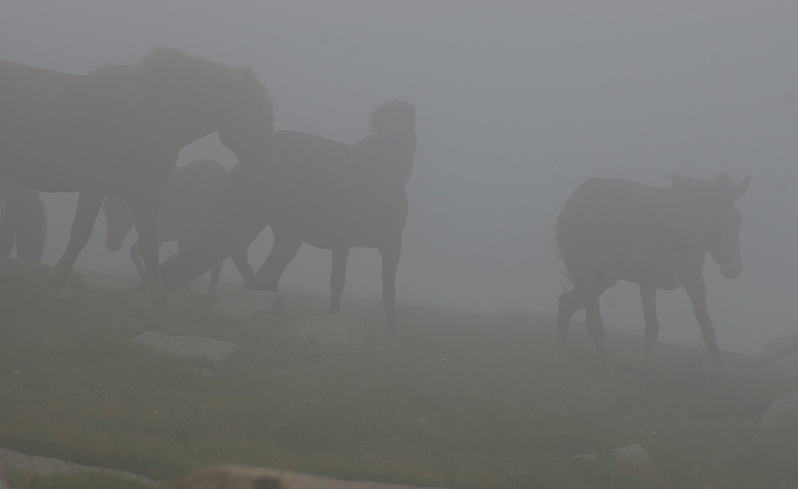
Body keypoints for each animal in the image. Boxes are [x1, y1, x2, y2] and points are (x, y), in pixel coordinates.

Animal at [159, 100, 416, 332]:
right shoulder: (391, 245)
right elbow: (387, 291)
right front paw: (391, 330)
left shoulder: (342, 244)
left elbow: (337, 282)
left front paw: (333, 317)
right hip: (273, 229)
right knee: (258, 269)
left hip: (265, 226)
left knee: (249, 264)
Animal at [552, 173, 752, 368]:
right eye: (718, 228)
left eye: (738, 221)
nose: (735, 269)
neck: (689, 222)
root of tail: (575, 206)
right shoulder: (693, 278)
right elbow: (707, 327)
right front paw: (720, 367)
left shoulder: (648, 282)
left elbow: (652, 327)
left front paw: (640, 362)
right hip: (602, 276)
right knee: (570, 305)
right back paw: (566, 358)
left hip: (588, 276)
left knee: (588, 318)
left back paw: (597, 360)